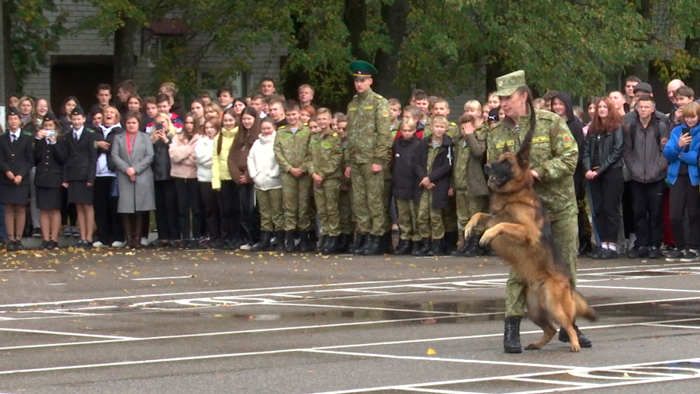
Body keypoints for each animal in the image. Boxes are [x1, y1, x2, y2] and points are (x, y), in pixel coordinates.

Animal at [464, 129, 596, 350]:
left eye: (506, 162)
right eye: (498, 159)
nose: (486, 166)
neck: (514, 193)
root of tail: (567, 283)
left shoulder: (526, 230)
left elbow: (504, 225)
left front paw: (486, 236)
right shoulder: (493, 217)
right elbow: (479, 214)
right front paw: (468, 228)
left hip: (554, 304)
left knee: (567, 324)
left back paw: (575, 343)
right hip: (534, 309)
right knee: (551, 329)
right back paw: (535, 344)